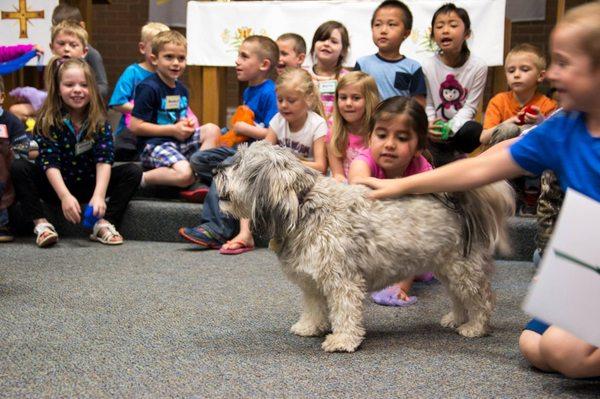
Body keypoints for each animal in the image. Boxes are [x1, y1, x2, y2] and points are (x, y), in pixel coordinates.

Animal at [216, 141, 516, 354]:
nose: (217, 169)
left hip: (465, 270)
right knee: (458, 298)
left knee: (483, 300)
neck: (303, 207)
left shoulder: (342, 280)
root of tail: (458, 203)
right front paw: (310, 327)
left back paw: (475, 327)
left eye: (239, 165)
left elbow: (345, 313)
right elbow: (314, 308)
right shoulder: (313, 283)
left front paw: (343, 340)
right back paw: (455, 318)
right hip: (449, 270)